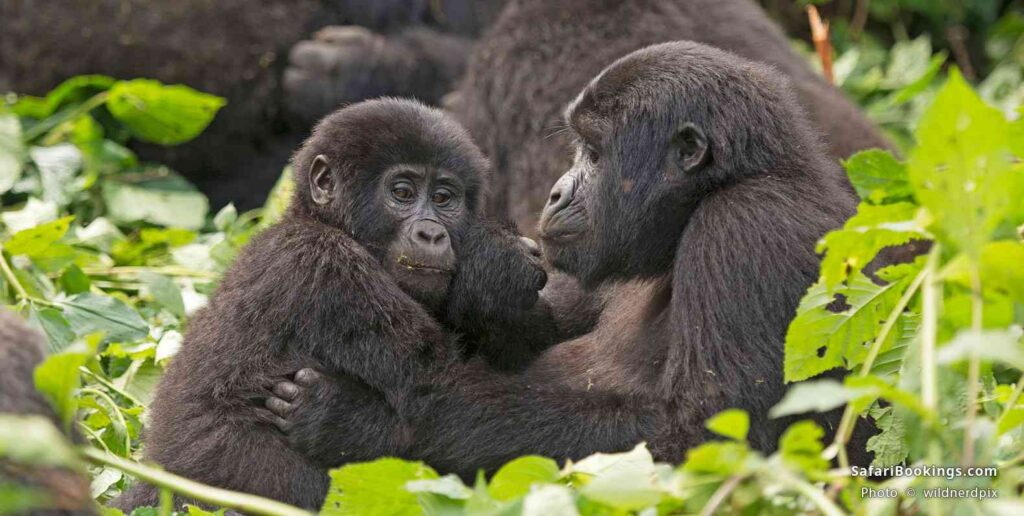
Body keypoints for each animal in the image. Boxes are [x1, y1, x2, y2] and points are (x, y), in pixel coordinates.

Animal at [112, 98, 552, 509]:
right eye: (402, 193)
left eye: (444, 198)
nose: (431, 234)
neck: (321, 221)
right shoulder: (327, 267)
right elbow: (438, 386)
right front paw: (496, 265)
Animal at [266, 42, 872, 477]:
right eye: (580, 148)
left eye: (595, 155)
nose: (556, 193)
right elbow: (537, 331)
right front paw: (491, 270)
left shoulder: (747, 226)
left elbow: (704, 441)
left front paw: (372, 423)